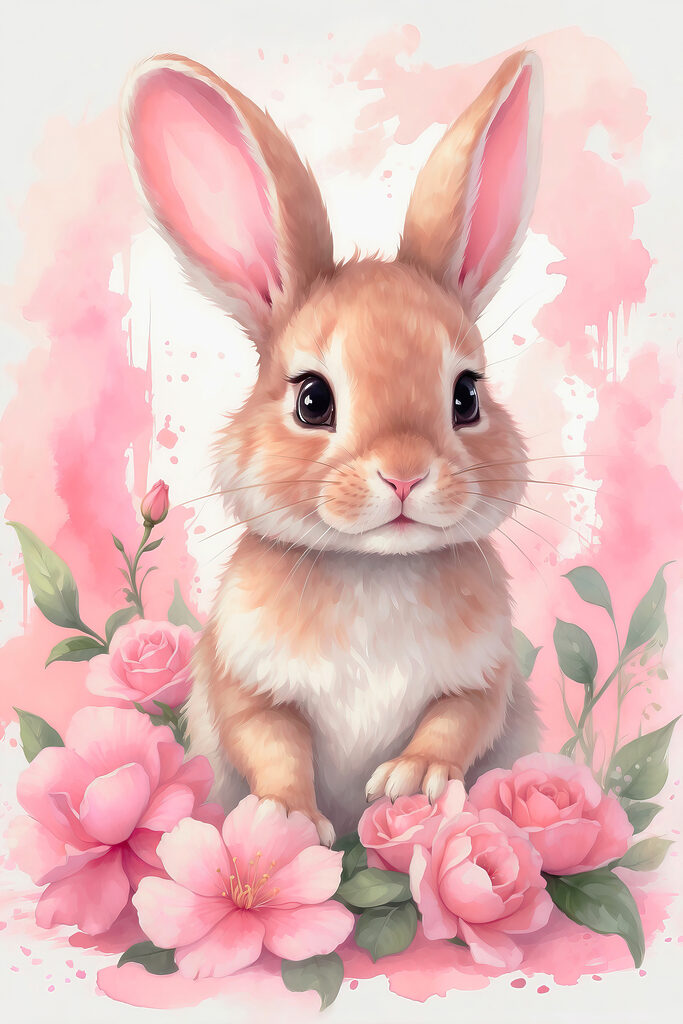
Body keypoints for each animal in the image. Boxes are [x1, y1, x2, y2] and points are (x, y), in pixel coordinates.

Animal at [121, 49, 543, 842]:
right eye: (312, 400)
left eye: (466, 396)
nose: (405, 476)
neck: (374, 571)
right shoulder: (247, 685)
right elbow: (272, 744)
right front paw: (287, 820)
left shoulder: (483, 679)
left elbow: (456, 723)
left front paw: (411, 782)